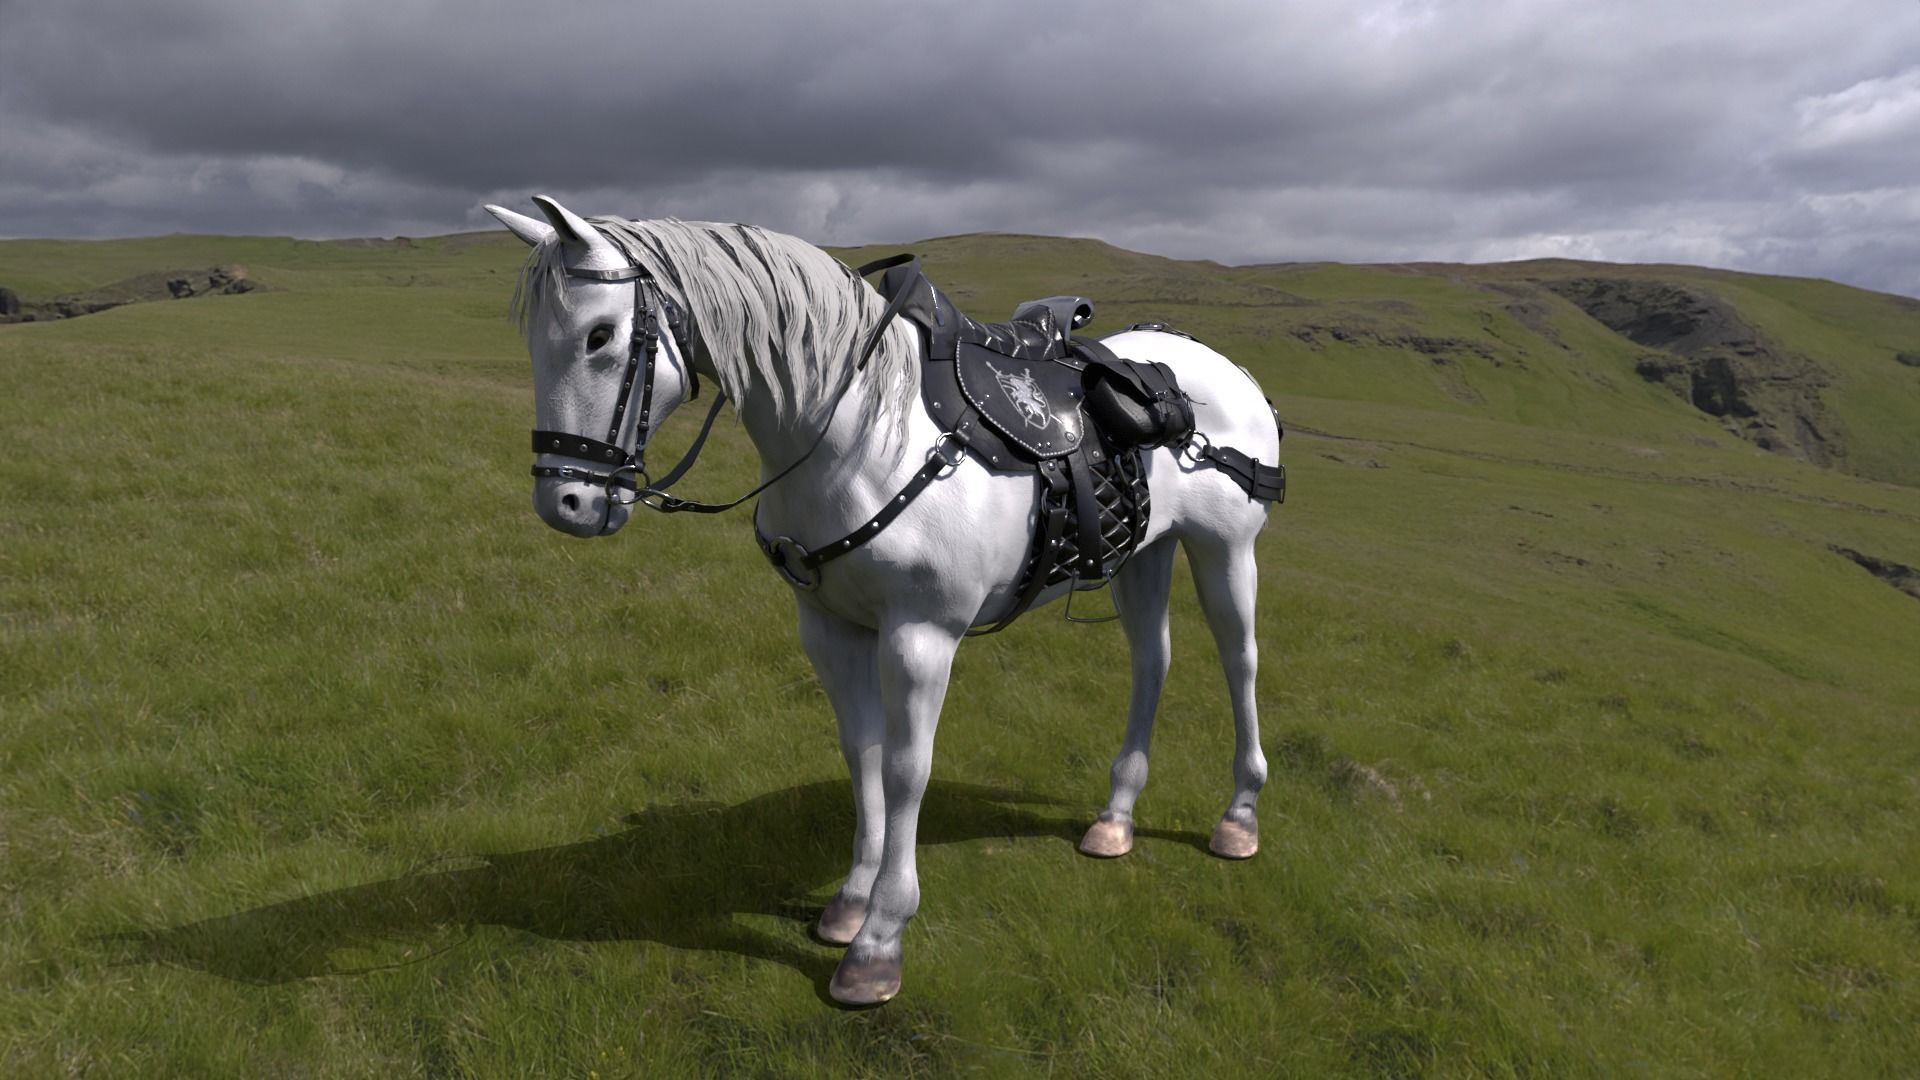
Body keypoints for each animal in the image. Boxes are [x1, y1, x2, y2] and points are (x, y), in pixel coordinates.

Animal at [485, 196, 1282, 1006]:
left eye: (600, 334)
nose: (566, 502)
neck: (858, 433)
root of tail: (1225, 370)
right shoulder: (831, 628)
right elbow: (861, 753)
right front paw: (849, 903)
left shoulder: (920, 636)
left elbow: (906, 770)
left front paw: (879, 940)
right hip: (1145, 554)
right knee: (1153, 662)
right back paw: (1116, 818)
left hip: (1225, 549)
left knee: (1239, 662)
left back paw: (1239, 816)